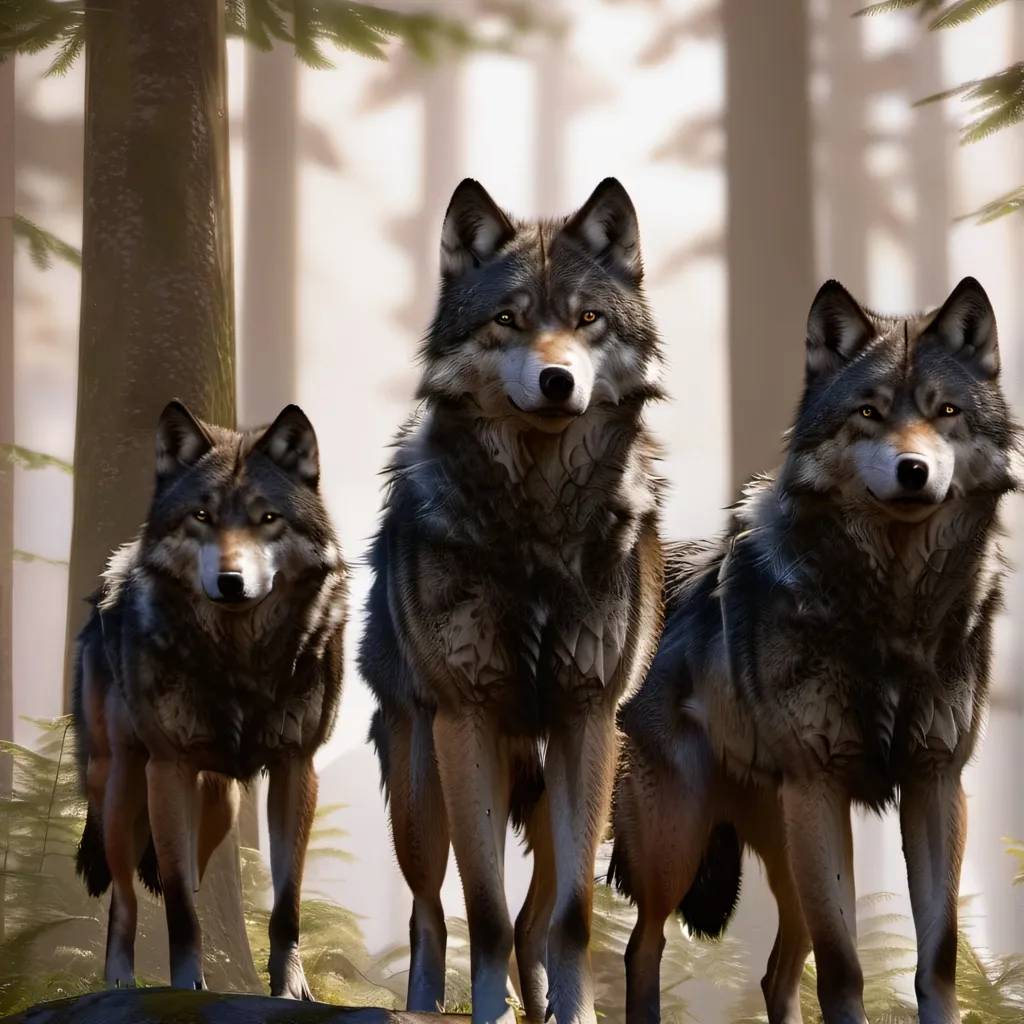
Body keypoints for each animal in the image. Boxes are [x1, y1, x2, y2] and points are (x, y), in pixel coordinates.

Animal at [71, 400, 348, 997]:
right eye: (201, 516)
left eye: (268, 519)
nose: (231, 581)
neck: (240, 660)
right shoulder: (168, 769)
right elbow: (178, 907)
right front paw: (184, 987)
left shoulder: (297, 768)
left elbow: (286, 904)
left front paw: (289, 988)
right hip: (123, 785)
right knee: (124, 897)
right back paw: (119, 982)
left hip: (221, 807)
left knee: (189, 876)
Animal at [358, 177, 665, 1024]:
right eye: (509, 319)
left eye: (587, 320)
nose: (558, 380)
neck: (537, 524)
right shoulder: (467, 723)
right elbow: (483, 912)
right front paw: (491, 1014)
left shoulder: (587, 720)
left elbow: (572, 917)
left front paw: (577, 1016)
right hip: (421, 788)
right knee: (430, 913)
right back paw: (428, 1005)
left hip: (581, 786)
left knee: (537, 918)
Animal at [608, 277, 1019, 1024]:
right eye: (869, 412)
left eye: (945, 411)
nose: (913, 469)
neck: (892, 610)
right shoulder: (821, 790)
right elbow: (844, 969)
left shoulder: (936, 787)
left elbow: (936, 963)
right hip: (681, 842)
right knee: (641, 947)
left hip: (786, 848)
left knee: (775, 975)